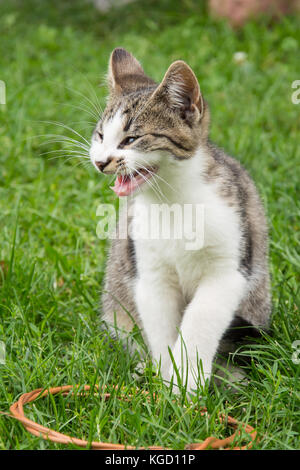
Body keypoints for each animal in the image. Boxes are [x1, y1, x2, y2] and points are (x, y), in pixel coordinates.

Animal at [89, 47, 272, 392]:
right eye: (101, 135)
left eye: (131, 139)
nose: (101, 161)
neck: (172, 202)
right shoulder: (149, 271)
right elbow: (161, 326)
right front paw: (166, 381)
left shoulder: (227, 272)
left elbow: (200, 322)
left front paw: (188, 383)